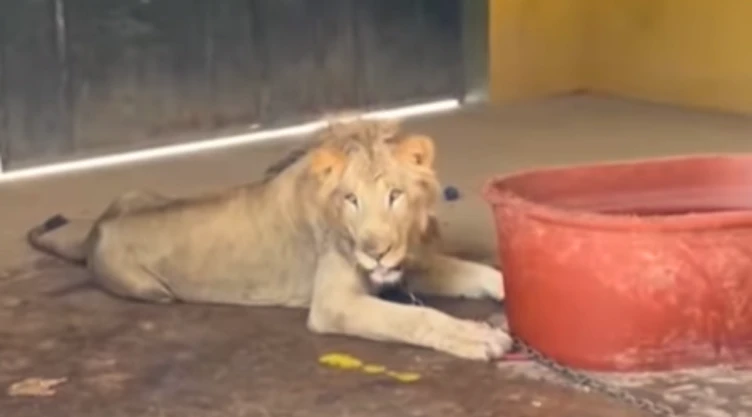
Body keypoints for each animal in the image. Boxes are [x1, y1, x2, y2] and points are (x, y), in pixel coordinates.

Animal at [26, 118, 512, 361]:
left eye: (395, 195)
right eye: (351, 199)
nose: (375, 252)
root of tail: (96, 228)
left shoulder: (406, 265)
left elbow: (481, 272)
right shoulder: (334, 304)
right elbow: (416, 318)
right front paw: (479, 338)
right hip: (150, 290)